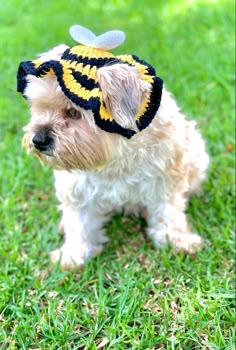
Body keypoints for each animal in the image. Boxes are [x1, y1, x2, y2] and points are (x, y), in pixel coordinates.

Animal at [17, 26, 208, 270]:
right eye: (38, 107)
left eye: (73, 113)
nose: (38, 140)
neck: (115, 158)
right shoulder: (76, 190)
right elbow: (78, 226)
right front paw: (73, 255)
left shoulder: (166, 179)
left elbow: (168, 213)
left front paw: (176, 240)